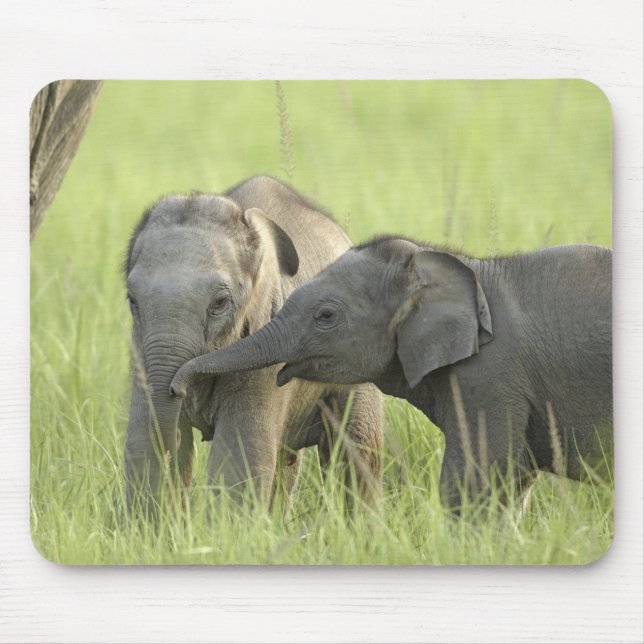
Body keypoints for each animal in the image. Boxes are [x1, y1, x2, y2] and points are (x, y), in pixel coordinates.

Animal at [123, 175, 383, 514]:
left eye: (220, 302)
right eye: (132, 300)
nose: (177, 388)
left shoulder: (266, 347)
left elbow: (237, 459)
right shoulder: (139, 346)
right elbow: (142, 444)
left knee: (357, 450)